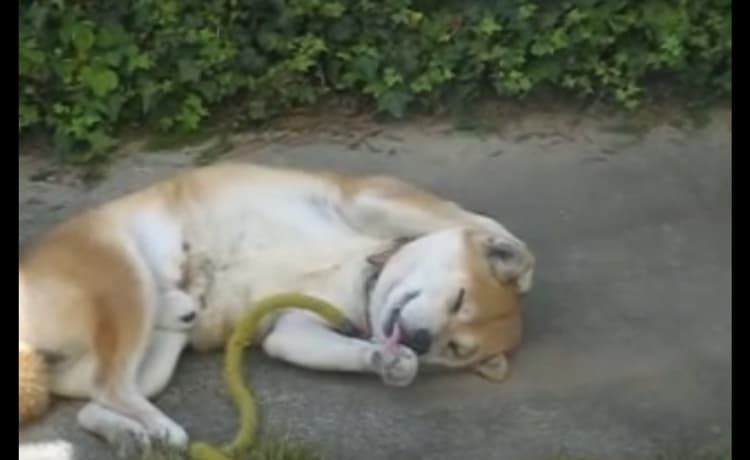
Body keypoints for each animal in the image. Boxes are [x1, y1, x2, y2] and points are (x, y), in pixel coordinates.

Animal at [17, 162, 536, 452]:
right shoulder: (367, 197)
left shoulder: (293, 325)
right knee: (112, 387)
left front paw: (391, 362)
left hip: (157, 354)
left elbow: (343, 349)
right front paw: (517, 259)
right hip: (126, 281)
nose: (420, 340)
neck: (363, 272)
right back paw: (167, 430)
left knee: (97, 401)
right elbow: (480, 224)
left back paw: (133, 430)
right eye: (459, 298)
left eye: (454, 349)